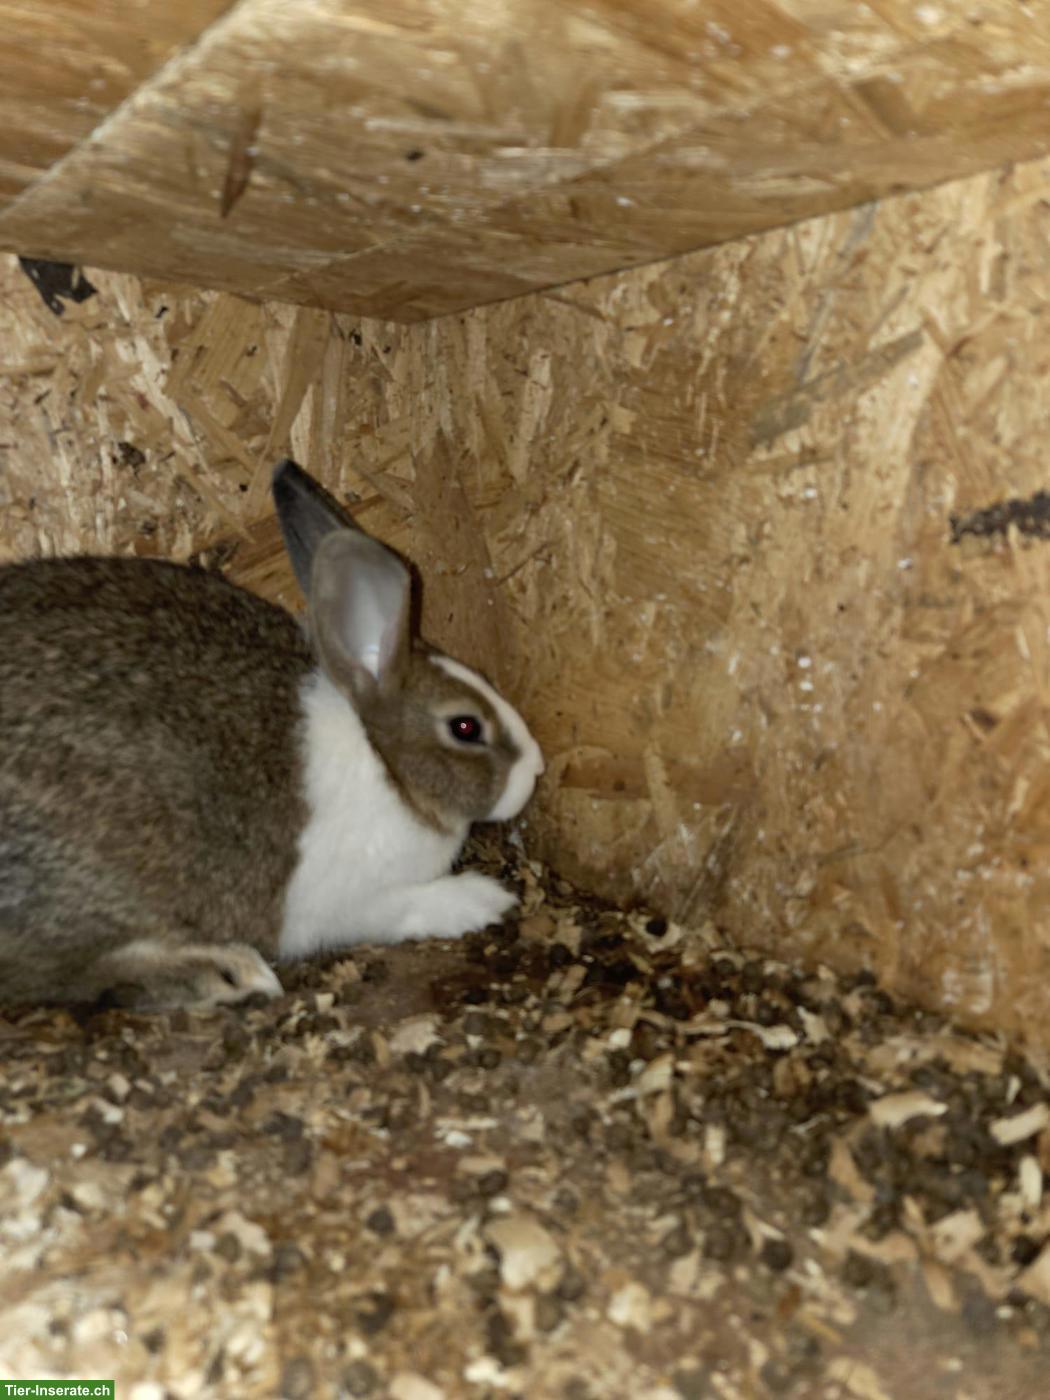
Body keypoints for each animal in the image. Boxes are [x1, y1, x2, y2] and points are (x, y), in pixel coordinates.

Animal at [0, 459, 543, 1010]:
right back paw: (227, 972)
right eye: (466, 727)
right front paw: (482, 899)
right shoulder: (349, 903)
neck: (385, 762)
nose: (536, 769)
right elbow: (403, 908)